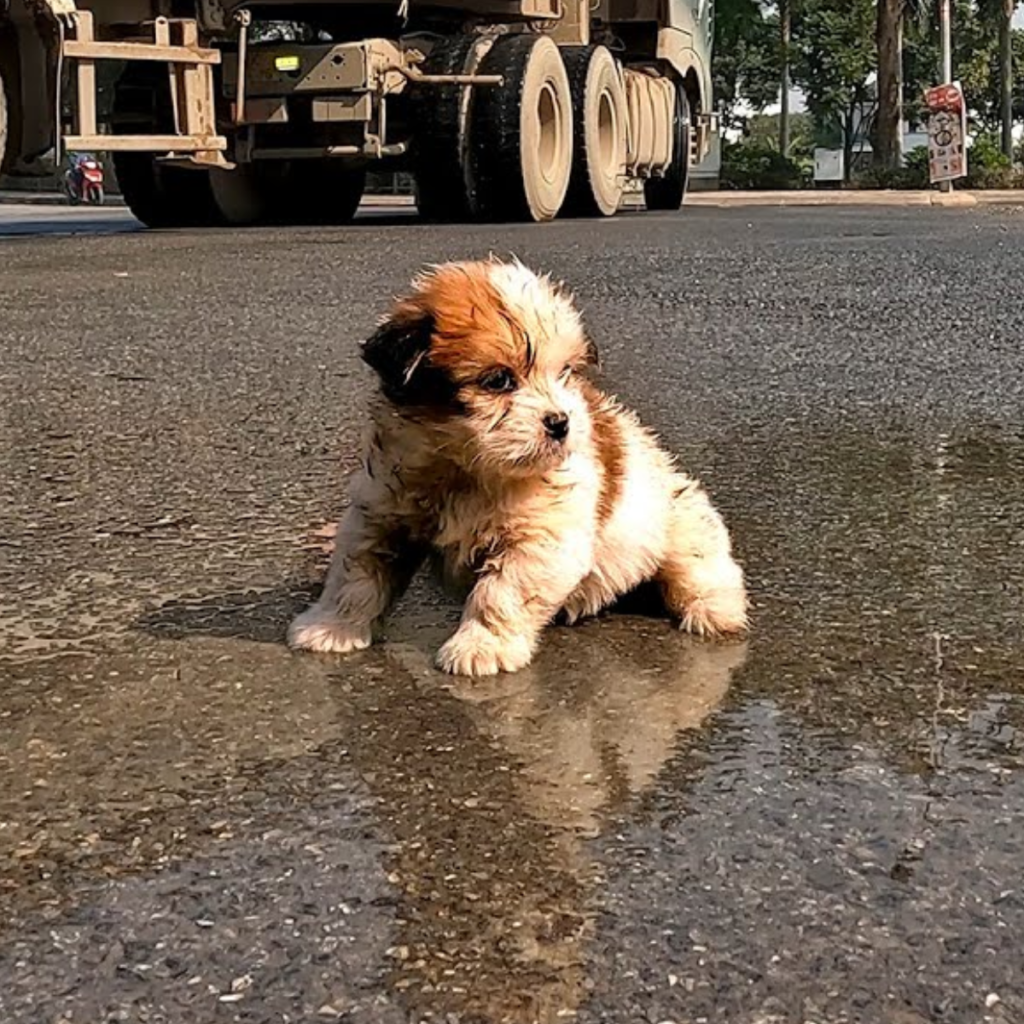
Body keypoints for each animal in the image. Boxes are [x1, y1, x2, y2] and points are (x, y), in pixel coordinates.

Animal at [284, 256, 749, 675]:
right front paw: (331, 627)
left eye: (565, 373)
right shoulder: (381, 512)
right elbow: (356, 577)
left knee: (701, 567)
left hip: (682, 523)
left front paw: (480, 647)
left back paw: (715, 610)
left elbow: (499, 593)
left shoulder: (541, 538)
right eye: (499, 381)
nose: (561, 423)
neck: (465, 470)